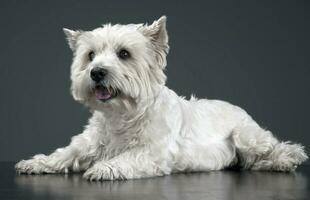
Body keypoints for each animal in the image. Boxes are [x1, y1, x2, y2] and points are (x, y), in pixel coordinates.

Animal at [15, 16, 308, 180]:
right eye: (90, 55)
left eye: (124, 54)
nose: (97, 72)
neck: (122, 114)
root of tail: (237, 107)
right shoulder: (88, 143)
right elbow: (65, 153)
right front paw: (35, 162)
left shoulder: (153, 152)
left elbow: (128, 158)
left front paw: (103, 168)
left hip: (245, 136)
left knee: (275, 147)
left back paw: (287, 159)